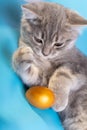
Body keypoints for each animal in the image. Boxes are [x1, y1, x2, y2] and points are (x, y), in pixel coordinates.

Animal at [12, 2, 87, 130]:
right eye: (38, 40)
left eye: (59, 44)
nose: (45, 53)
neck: (47, 61)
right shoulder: (42, 81)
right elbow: (32, 74)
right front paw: (21, 57)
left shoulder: (79, 66)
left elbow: (62, 73)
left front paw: (58, 100)